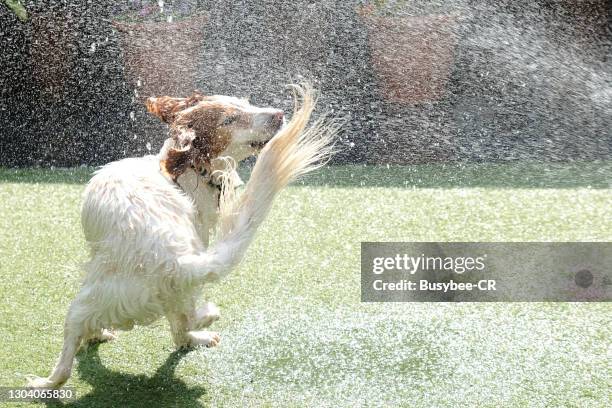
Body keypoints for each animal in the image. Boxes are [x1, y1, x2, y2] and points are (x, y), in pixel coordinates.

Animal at [26, 83, 338, 388]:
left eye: (246, 102)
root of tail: (171, 258)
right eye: (229, 119)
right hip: (140, 293)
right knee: (179, 324)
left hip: (100, 298)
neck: (189, 171)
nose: (278, 114)